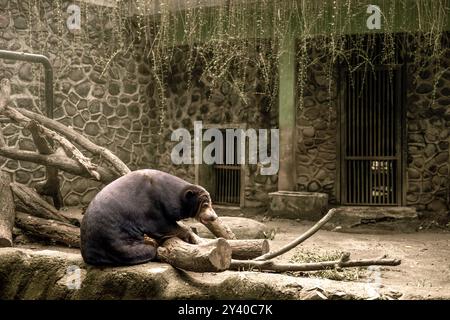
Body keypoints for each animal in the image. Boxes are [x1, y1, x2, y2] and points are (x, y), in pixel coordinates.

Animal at [80, 169, 218, 266]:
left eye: (210, 203)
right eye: (205, 205)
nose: (214, 217)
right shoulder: (150, 204)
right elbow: (161, 225)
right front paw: (188, 235)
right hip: (117, 241)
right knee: (144, 250)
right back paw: (152, 246)